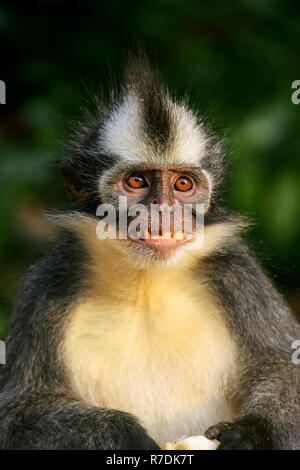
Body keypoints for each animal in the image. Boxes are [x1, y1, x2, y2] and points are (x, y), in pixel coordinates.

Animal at [0, 52, 300, 452]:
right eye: (137, 181)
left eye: (183, 184)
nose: (163, 210)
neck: (146, 283)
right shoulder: (48, 284)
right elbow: (18, 415)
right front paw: (126, 436)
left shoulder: (236, 273)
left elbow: (286, 367)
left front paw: (250, 433)